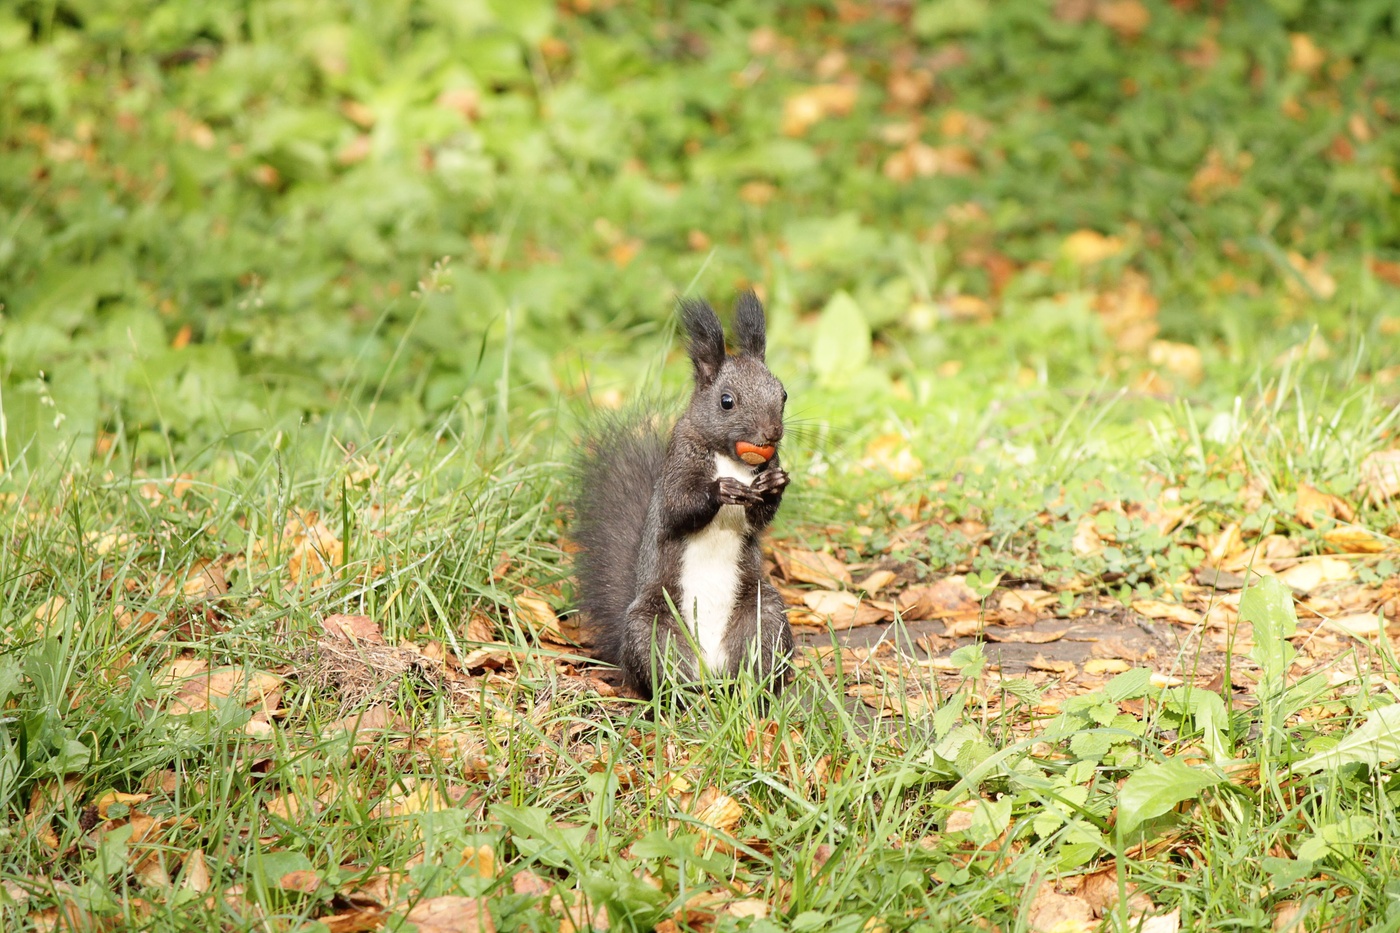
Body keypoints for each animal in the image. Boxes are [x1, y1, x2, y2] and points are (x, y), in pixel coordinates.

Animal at [571, 292, 794, 699]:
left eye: (783, 394)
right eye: (726, 401)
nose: (771, 434)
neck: (731, 458)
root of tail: (712, 668)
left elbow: (759, 518)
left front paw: (774, 483)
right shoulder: (676, 467)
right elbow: (678, 508)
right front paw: (720, 489)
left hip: (764, 616)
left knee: (755, 659)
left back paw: (754, 692)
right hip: (651, 630)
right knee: (667, 677)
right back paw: (681, 697)